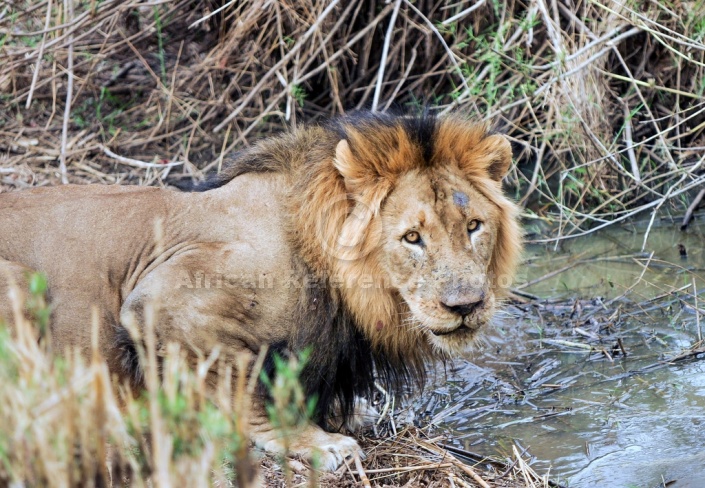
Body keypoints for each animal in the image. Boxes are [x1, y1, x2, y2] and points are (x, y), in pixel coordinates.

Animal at [0, 112, 516, 470]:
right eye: (412, 237)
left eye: (473, 226)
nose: (466, 305)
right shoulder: (162, 300)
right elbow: (243, 384)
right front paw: (317, 440)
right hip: (24, 285)